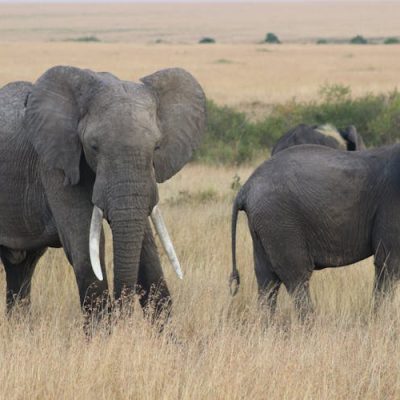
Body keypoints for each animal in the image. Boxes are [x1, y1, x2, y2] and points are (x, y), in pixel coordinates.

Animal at [0, 65, 206, 328]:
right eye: (94, 147)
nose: (122, 316)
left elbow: (148, 258)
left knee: (21, 265)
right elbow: (86, 254)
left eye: (156, 147)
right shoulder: (56, 166)